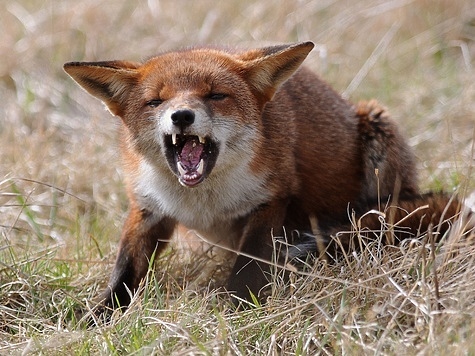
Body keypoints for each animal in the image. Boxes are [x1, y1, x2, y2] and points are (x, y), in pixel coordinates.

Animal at [64, 41, 472, 312]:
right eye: (155, 101)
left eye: (215, 95)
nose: (181, 116)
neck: (203, 200)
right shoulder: (148, 207)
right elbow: (124, 272)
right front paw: (98, 318)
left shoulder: (270, 199)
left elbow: (247, 267)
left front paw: (237, 312)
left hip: (378, 136)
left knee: (382, 223)